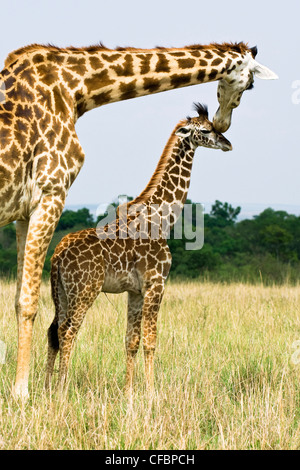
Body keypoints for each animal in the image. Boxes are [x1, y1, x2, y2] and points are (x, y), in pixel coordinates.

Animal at [45, 103, 232, 392]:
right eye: (205, 130)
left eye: (213, 126)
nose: (227, 143)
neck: (162, 220)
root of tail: (57, 256)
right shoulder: (156, 283)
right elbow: (150, 340)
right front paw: (151, 391)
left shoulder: (135, 291)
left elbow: (130, 341)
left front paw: (130, 391)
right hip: (85, 290)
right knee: (68, 331)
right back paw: (62, 389)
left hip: (61, 292)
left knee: (53, 329)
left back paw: (45, 388)